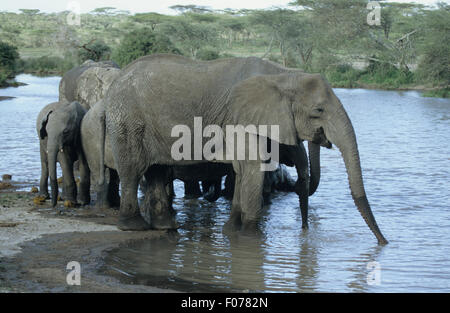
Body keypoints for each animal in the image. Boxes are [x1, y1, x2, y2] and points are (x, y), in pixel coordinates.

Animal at [101, 53, 386, 244]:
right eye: (318, 111)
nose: (384, 243)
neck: (284, 75)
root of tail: (115, 80)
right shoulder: (241, 118)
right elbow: (252, 166)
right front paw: (251, 236)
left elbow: (242, 169)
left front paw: (231, 230)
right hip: (128, 119)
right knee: (133, 170)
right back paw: (135, 226)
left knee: (158, 170)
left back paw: (167, 226)